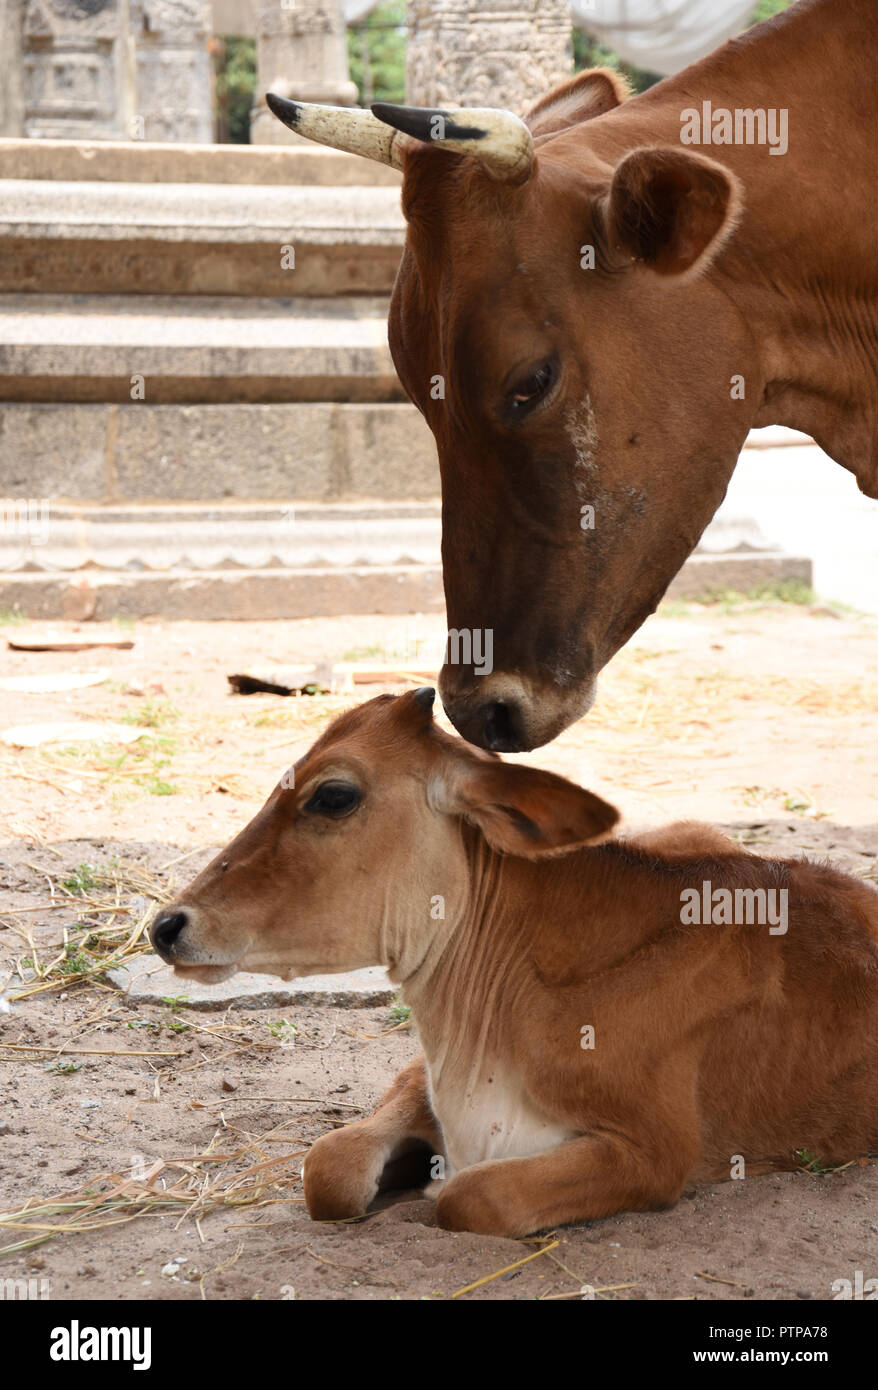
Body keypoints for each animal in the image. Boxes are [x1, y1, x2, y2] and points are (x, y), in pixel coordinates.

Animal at [150, 689, 878, 1234]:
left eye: (334, 795)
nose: (166, 925)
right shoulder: (420, 1076)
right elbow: (330, 1166)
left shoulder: (656, 1151)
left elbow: (472, 1197)